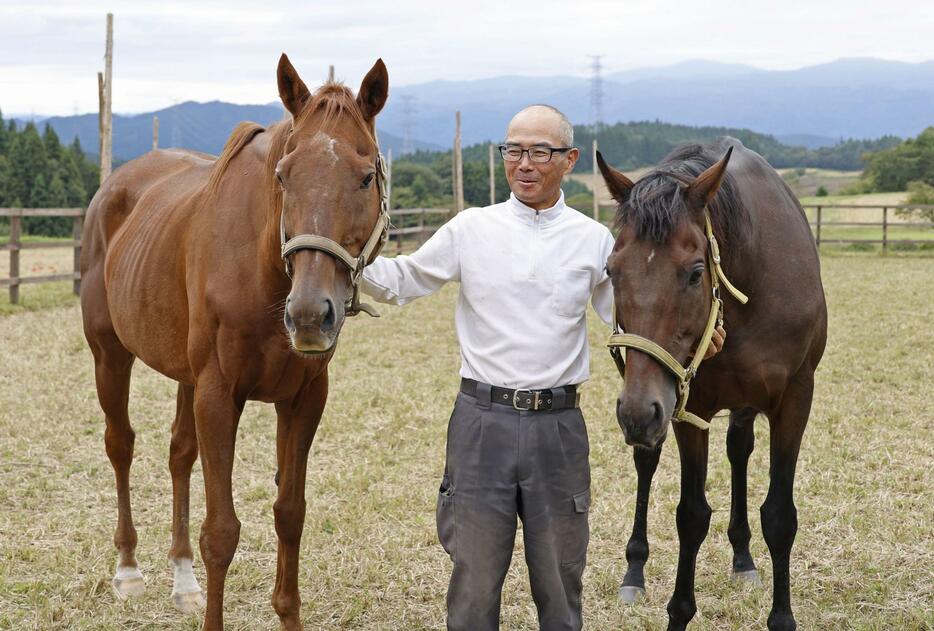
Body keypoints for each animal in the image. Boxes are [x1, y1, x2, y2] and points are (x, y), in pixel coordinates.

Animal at [78, 55, 390, 631]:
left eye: (364, 177)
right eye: (283, 176)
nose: (309, 315)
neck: (262, 268)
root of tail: (115, 187)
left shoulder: (304, 399)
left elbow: (290, 513)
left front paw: (288, 615)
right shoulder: (220, 395)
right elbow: (221, 532)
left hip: (184, 376)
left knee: (179, 454)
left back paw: (182, 580)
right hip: (110, 355)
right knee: (120, 444)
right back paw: (128, 569)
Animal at [600, 139, 828, 631]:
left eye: (694, 271)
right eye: (611, 270)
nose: (637, 412)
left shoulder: (795, 398)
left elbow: (779, 516)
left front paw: (781, 616)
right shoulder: (688, 406)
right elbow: (691, 515)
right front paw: (678, 612)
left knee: (739, 450)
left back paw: (743, 557)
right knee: (647, 464)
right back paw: (634, 571)